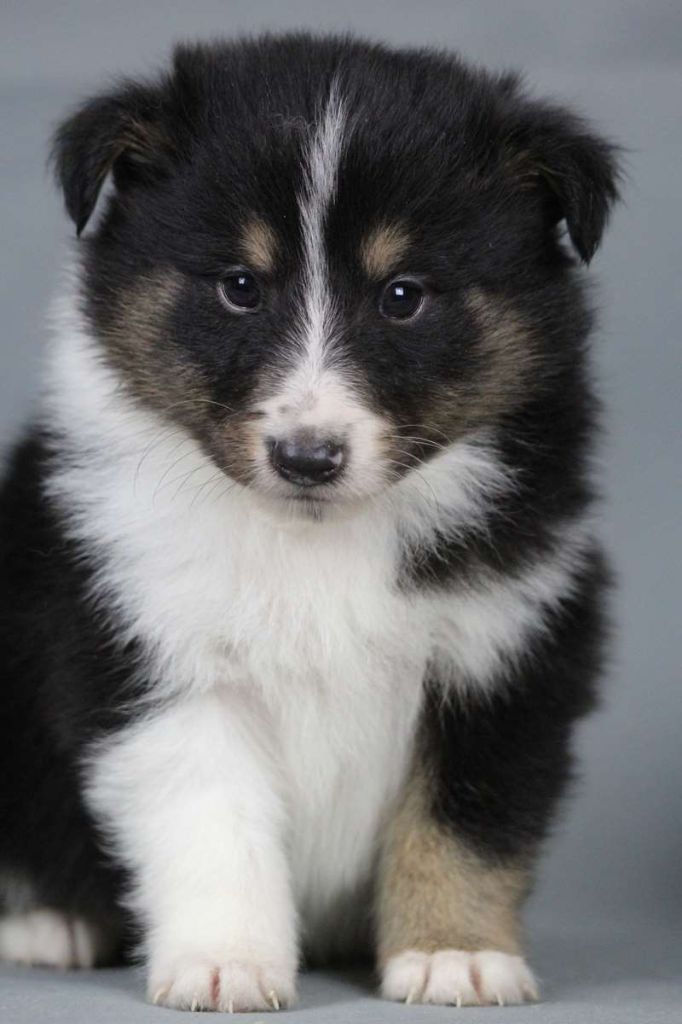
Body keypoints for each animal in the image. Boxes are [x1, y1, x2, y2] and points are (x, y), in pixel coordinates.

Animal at [0, 33, 619, 1011]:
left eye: (403, 295)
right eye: (239, 287)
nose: (307, 457)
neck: (317, 534)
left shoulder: (508, 649)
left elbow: (465, 821)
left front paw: (453, 954)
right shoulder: (149, 649)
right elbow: (211, 818)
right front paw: (225, 963)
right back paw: (52, 921)